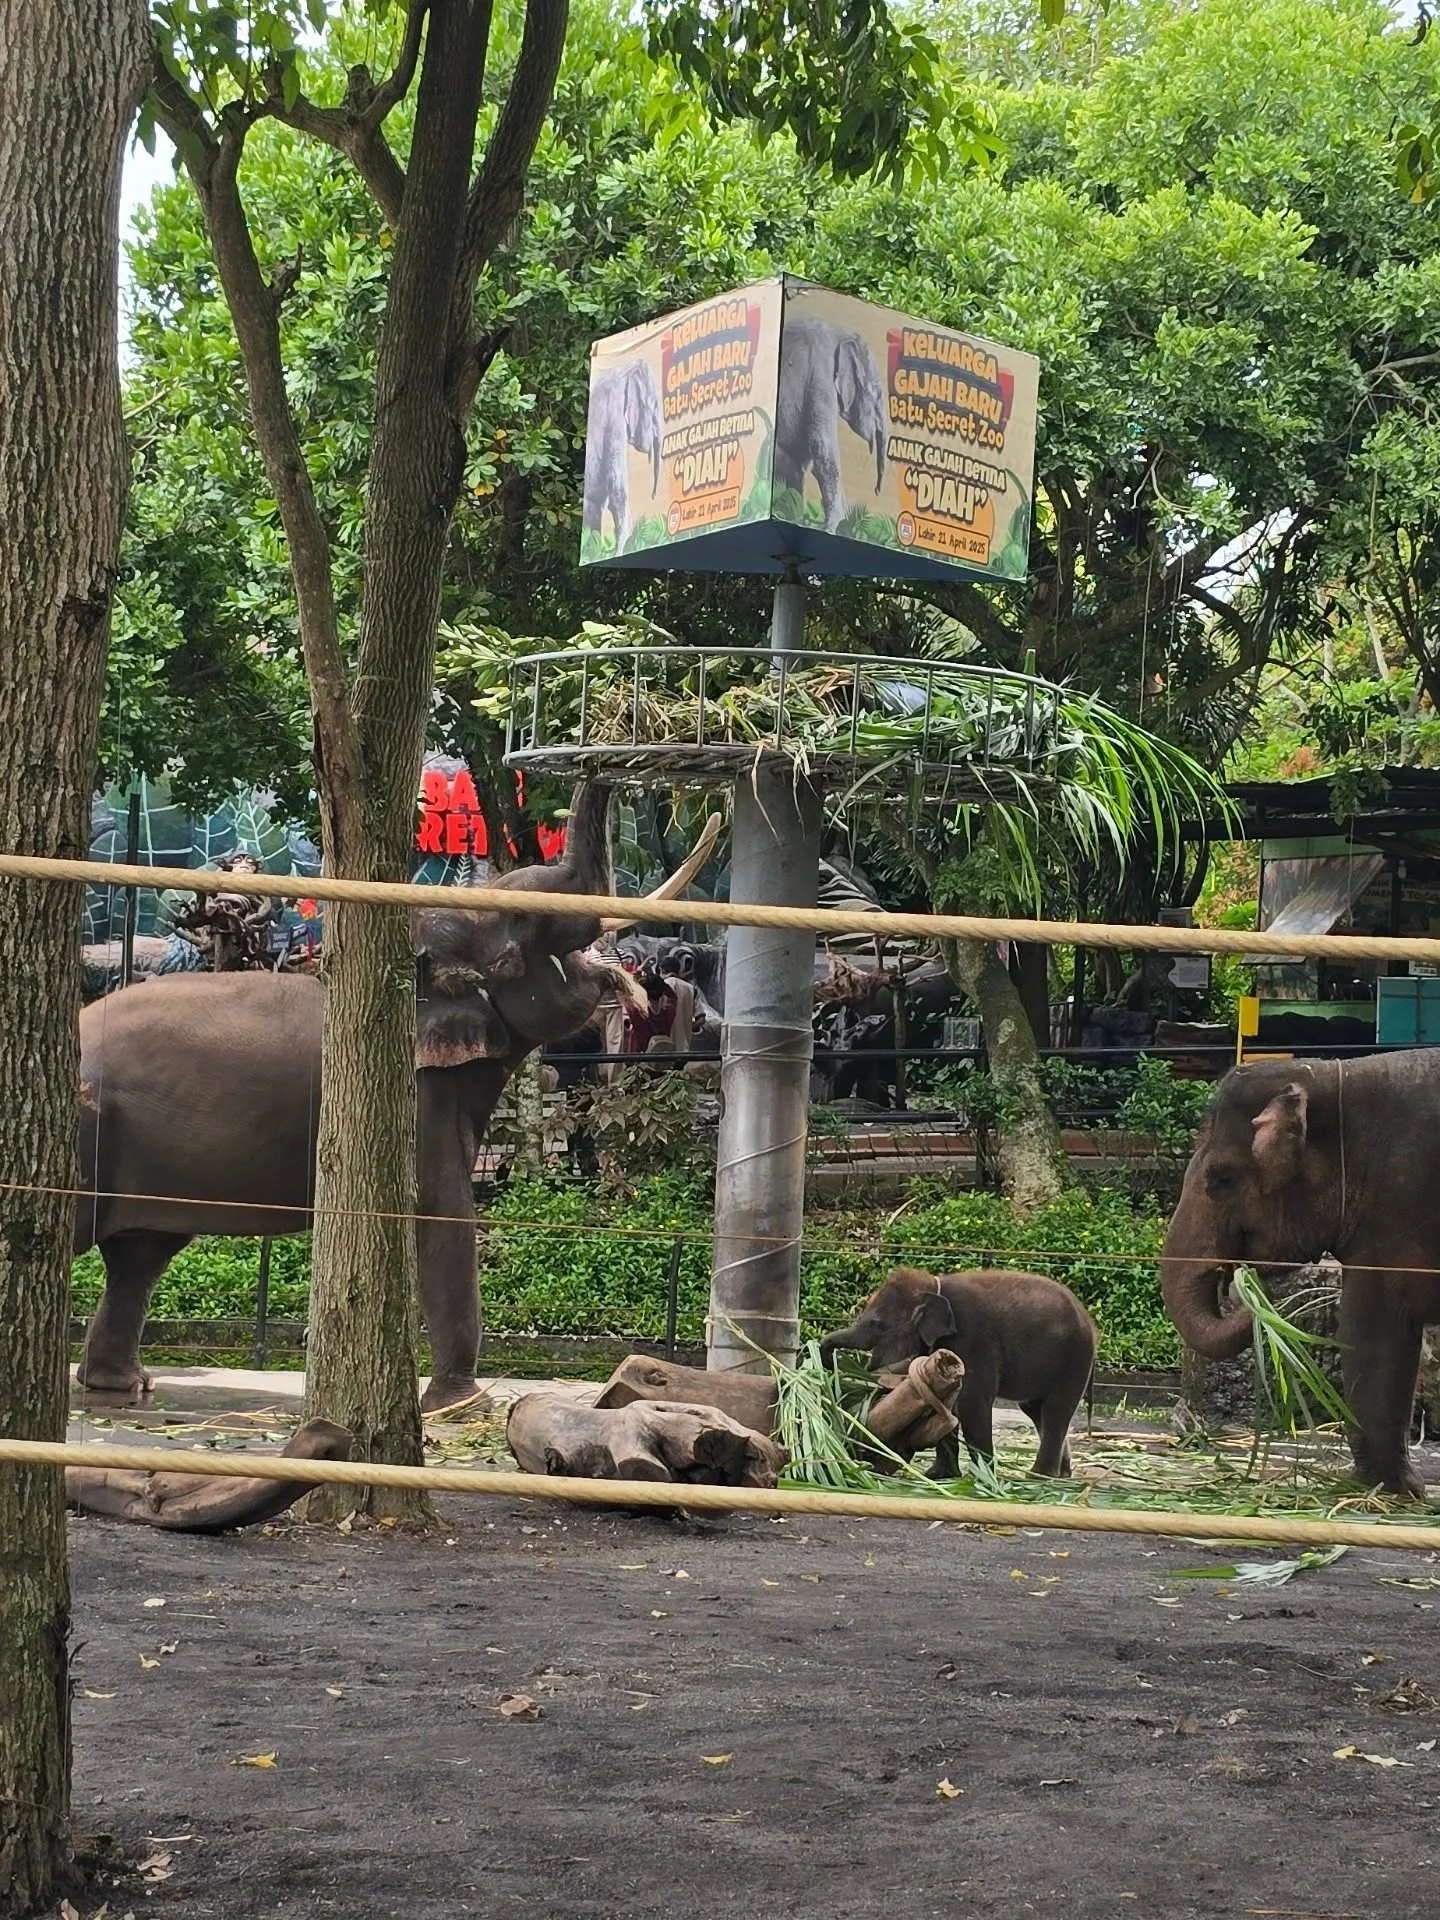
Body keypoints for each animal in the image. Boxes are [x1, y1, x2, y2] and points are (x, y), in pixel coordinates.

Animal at [73, 782, 706, 1414]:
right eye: (524, 920)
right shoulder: (413, 1095)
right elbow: (440, 1211)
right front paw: (457, 1405)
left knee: (140, 1254)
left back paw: (122, 1387)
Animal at [774, 317, 887, 533]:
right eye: (877, 394)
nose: (877, 490)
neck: (841, 333)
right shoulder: (820, 377)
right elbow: (822, 449)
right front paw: (834, 526)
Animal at [819, 1266, 1097, 1477]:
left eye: (878, 1324)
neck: (934, 1286)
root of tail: (1090, 1322)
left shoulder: (972, 1338)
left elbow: (971, 1401)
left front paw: (983, 1478)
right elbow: (947, 1402)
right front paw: (939, 1476)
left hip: (1074, 1359)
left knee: (1055, 1411)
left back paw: (1038, 1477)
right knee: (1035, 1410)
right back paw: (1061, 1474)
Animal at [1160, 1052, 1440, 1498]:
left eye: (1221, 1179)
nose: (1241, 1285)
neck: (1334, 1076)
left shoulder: (1394, 1212)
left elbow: (1370, 1332)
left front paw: (1392, 1489)